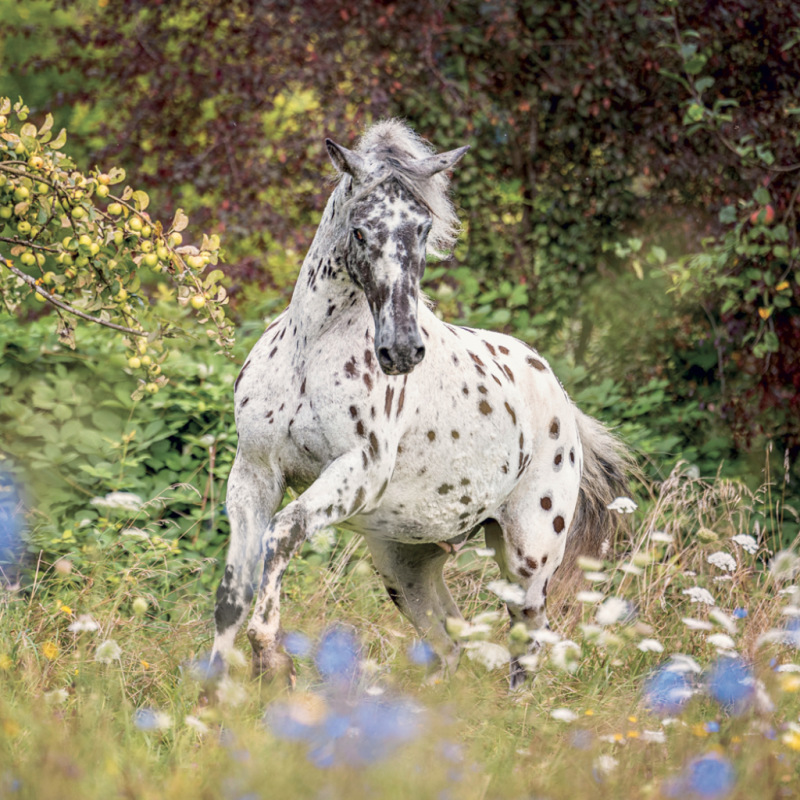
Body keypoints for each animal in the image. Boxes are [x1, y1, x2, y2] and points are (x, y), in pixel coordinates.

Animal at [210, 120, 629, 689]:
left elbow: (284, 532)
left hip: (527, 557)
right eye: (360, 231)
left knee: (529, 640)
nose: (402, 350)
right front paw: (211, 690)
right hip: (403, 564)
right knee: (451, 642)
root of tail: (560, 398)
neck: (309, 350)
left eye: (424, 228)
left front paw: (270, 658)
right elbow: (232, 594)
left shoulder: (358, 471)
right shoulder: (254, 473)